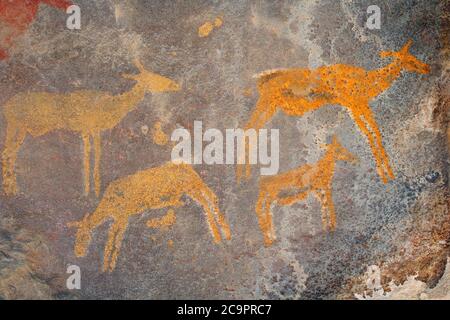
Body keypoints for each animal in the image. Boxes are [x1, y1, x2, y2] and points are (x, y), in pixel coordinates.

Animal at [3, 58, 181, 196]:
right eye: (156, 78)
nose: (175, 85)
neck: (112, 106)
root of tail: (7, 105)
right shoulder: (91, 130)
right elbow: (92, 156)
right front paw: (92, 191)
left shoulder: (90, 132)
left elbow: (91, 155)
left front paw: (91, 189)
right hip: (16, 127)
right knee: (7, 153)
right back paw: (11, 190)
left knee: (9, 153)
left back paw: (11, 189)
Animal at [67, 161, 232, 272]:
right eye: (76, 237)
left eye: (83, 237)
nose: (78, 253)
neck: (108, 203)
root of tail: (187, 166)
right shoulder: (122, 218)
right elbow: (114, 237)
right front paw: (108, 264)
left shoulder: (122, 216)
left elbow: (114, 238)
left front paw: (108, 265)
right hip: (189, 189)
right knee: (209, 198)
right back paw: (223, 233)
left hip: (191, 186)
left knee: (208, 201)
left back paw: (220, 234)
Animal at [236, 40, 428, 184]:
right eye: (410, 60)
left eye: (413, 56)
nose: (427, 68)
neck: (367, 82)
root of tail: (262, 80)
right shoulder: (354, 106)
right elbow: (369, 134)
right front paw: (385, 174)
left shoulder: (361, 106)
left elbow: (375, 133)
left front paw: (389, 173)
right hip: (267, 103)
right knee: (248, 128)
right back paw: (242, 176)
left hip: (271, 107)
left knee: (251, 129)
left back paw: (244, 176)